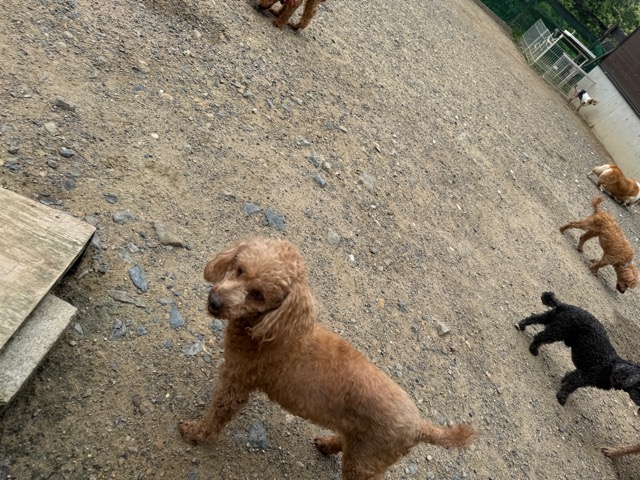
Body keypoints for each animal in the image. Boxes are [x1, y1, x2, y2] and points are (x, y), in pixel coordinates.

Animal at [179, 238, 473, 479]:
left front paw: (195, 432)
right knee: (345, 442)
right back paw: (328, 445)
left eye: (258, 295)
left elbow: (217, 414)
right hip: (361, 445)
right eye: (239, 269)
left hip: (365, 462)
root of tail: (421, 427)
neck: (266, 326)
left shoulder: (238, 383)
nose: (215, 301)